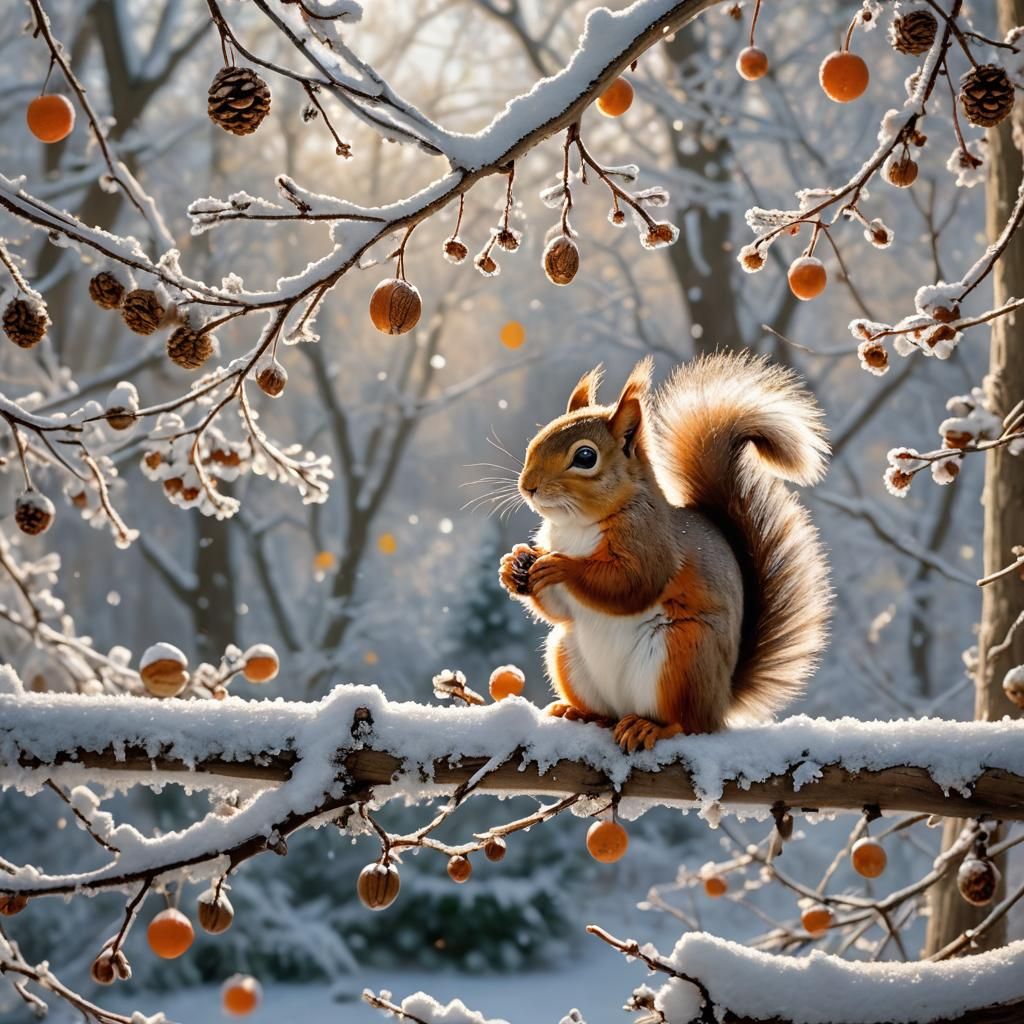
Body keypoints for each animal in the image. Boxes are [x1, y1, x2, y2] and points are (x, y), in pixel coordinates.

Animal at [498, 352, 830, 753]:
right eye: (537, 440)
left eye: (585, 457)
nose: (527, 486)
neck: (577, 527)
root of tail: (721, 702)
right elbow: (560, 609)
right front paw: (513, 565)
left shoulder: (651, 541)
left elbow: (631, 584)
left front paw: (561, 566)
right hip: (566, 652)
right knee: (605, 710)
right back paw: (579, 713)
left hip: (683, 657)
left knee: (690, 725)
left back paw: (651, 728)